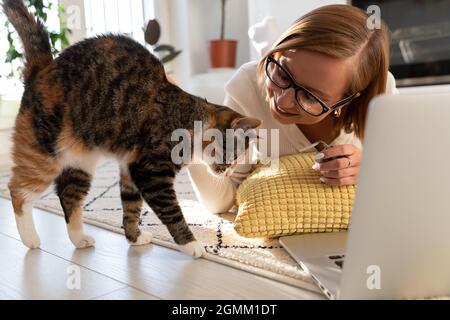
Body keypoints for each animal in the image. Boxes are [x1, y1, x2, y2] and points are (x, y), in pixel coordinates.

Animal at [2, 0, 260, 258]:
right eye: (233, 154)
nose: (228, 173)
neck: (188, 118)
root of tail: (44, 67)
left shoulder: (130, 168)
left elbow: (131, 206)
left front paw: (134, 237)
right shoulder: (151, 172)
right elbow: (172, 212)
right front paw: (191, 244)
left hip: (81, 161)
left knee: (68, 195)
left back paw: (79, 238)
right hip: (44, 153)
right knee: (17, 191)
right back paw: (30, 238)